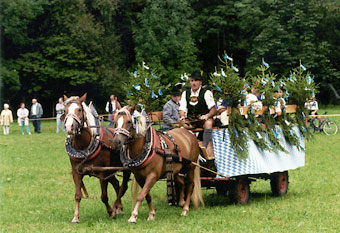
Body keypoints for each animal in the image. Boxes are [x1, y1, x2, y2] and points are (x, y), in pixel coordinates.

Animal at [62, 93, 131, 223]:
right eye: (65, 110)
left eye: (79, 110)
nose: (69, 126)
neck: (84, 145)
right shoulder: (76, 172)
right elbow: (77, 195)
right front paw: (75, 217)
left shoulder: (102, 173)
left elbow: (104, 196)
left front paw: (111, 212)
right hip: (111, 170)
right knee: (116, 184)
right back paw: (119, 208)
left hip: (124, 170)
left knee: (123, 186)